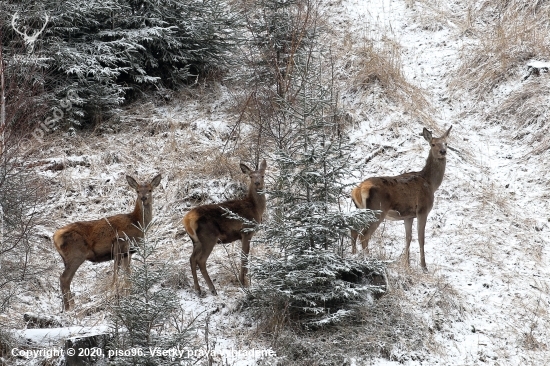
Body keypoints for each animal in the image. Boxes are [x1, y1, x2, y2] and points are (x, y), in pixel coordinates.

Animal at [52, 174, 162, 308]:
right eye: (137, 191)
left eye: (150, 190)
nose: (143, 198)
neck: (137, 223)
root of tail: (55, 237)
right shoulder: (120, 242)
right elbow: (117, 271)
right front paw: (114, 290)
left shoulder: (128, 252)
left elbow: (127, 272)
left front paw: (128, 291)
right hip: (76, 255)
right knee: (64, 279)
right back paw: (72, 307)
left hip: (67, 259)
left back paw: (67, 307)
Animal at [183, 160, 268, 294]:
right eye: (251, 176)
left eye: (263, 175)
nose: (257, 183)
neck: (255, 208)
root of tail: (187, 219)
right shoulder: (246, 231)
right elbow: (243, 257)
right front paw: (243, 282)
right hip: (208, 237)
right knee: (200, 260)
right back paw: (212, 288)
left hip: (196, 241)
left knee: (192, 259)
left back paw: (198, 289)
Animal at [354, 127, 452, 270]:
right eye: (433, 144)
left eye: (446, 143)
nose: (443, 151)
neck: (430, 183)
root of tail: (359, 189)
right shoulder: (422, 210)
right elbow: (421, 238)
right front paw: (424, 267)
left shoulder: (408, 216)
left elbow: (408, 238)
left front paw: (407, 264)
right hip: (377, 210)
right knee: (364, 235)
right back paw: (368, 260)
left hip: (359, 210)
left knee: (353, 231)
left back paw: (353, 255)